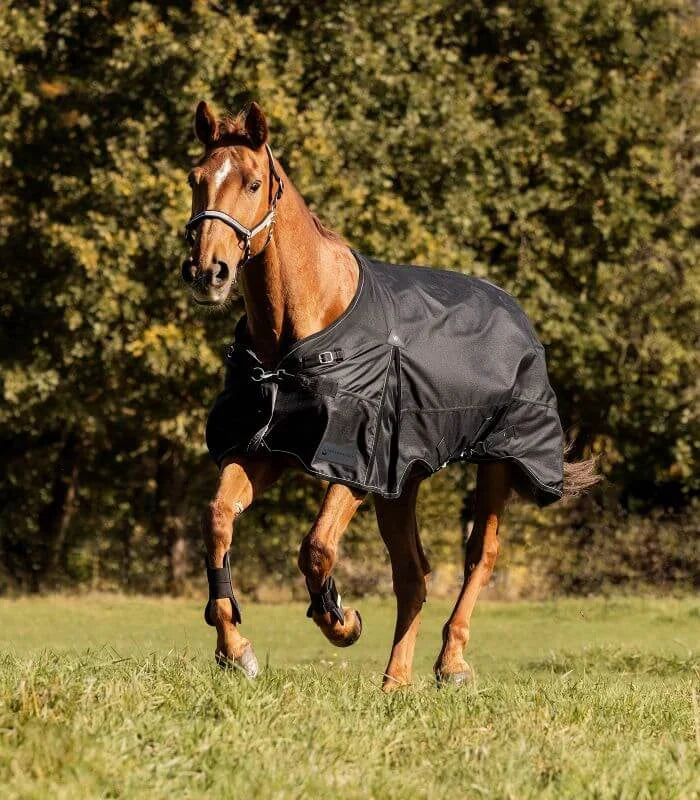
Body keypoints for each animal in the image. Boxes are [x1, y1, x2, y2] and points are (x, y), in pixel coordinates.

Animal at [181, 101, 598, 691]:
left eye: (254, 183)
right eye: (196, 179)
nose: (207, 272)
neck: (299, 334)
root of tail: (514, 311)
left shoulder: (357, 463)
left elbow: (316, 547)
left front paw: (341, 621)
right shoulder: (267, 449)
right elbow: (218, 518)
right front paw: (235, 650)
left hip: (495, 462)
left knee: (480, 555)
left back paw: (451, 664)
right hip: (403, 482)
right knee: (413, 575)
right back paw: (395, 681)